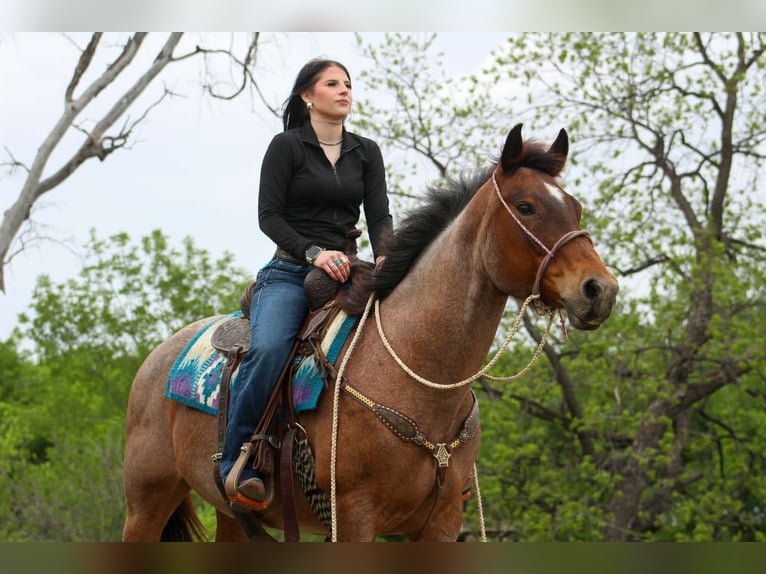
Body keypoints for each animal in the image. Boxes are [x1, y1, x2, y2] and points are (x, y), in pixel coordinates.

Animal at [122, 123, 619, 542]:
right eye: (526, 207)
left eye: (575, 208)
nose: (600, 290)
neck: (417, 374)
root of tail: (155, 359)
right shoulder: (355, 517)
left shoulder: (440, 524)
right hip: (146, 503)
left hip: (231, 516)